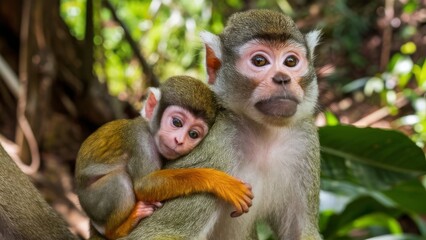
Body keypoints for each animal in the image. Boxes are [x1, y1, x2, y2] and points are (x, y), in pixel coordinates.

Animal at [75, 76, 253, 239]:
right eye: (177, 122)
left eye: (193, 134)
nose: (179, 141)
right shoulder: (141, 141)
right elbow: (143, 185)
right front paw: (218, 180)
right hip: (91, 200)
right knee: (120, 181)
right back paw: (116, 230)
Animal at [128, 8, 322, 239]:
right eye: (259, 61)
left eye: (291, 62)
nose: (282, 78)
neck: (263, 133)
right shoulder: (217, 147)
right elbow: (155, 232)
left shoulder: (305, 137)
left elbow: (302, 229)